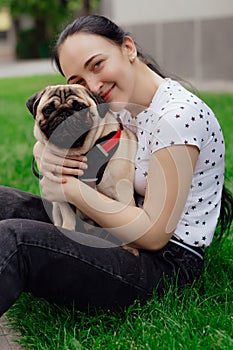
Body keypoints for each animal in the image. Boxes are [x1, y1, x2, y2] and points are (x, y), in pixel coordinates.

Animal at [26, 84, 138, 254]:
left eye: (80, 107)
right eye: (48, 109)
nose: (64, 113)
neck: (81, 152)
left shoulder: (123, 193)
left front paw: (130, 248)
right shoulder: (62, 194)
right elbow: (68, 215)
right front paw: (68, 229)